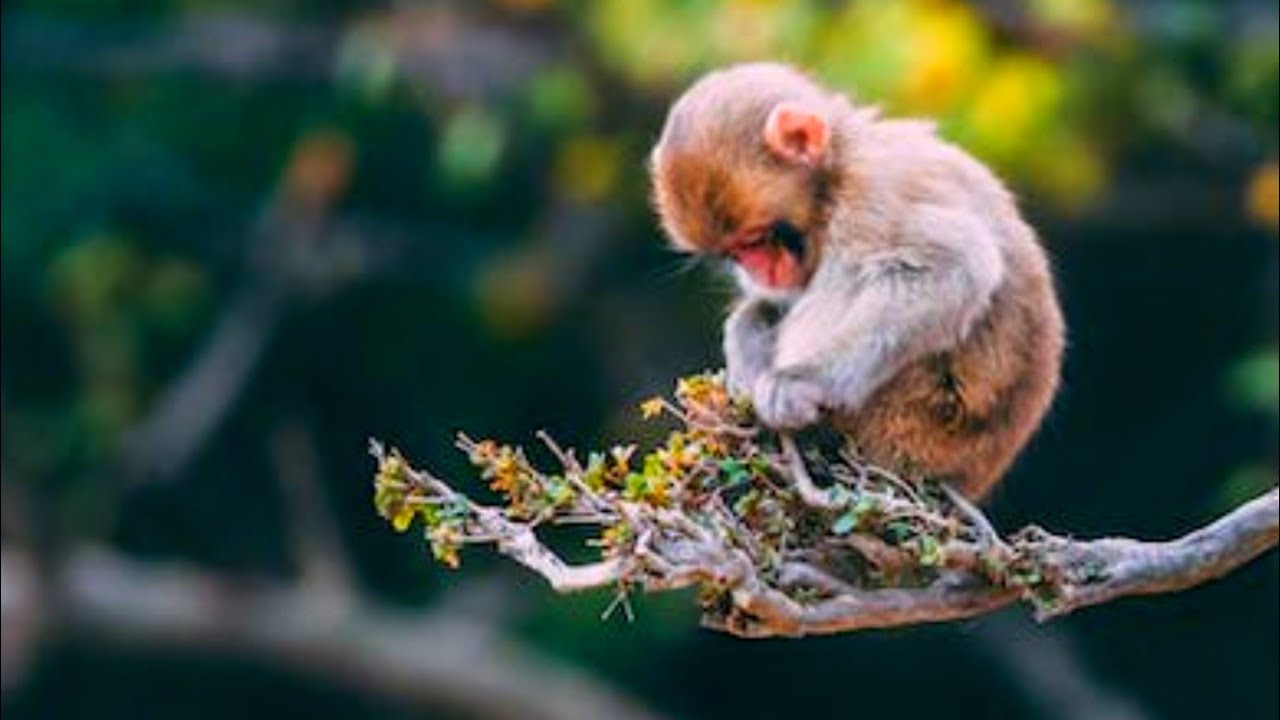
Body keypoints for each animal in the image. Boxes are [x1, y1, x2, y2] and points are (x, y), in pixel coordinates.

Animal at [648, 63, 1064, 499]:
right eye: (735, 253)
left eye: (755, 239)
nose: (757, 272)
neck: (839, 166)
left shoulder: (874, 193)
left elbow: (953, 268)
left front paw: (803, 381)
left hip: (911, 421)